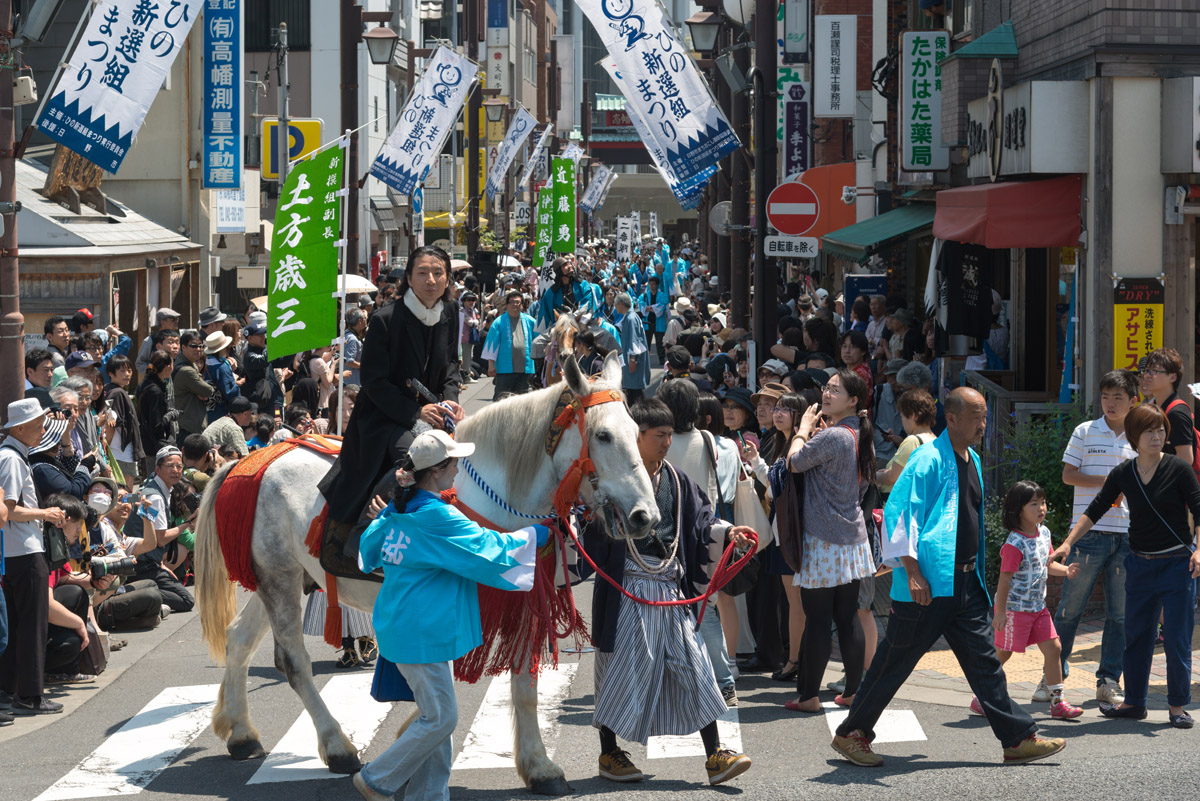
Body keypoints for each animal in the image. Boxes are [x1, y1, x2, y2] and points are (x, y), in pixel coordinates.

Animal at [195, 354, 657, 796]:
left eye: (636, 431)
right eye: (603, 436)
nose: (645, 517)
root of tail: (252, 459)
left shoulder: (521, 599)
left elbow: (524, 687)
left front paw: (540, 768)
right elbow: (443, 680)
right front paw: (412, 737)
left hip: (278, 577)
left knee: (239, 639)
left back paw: (240, 732)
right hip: (280, 577)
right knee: (293, 661)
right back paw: (336, 746)